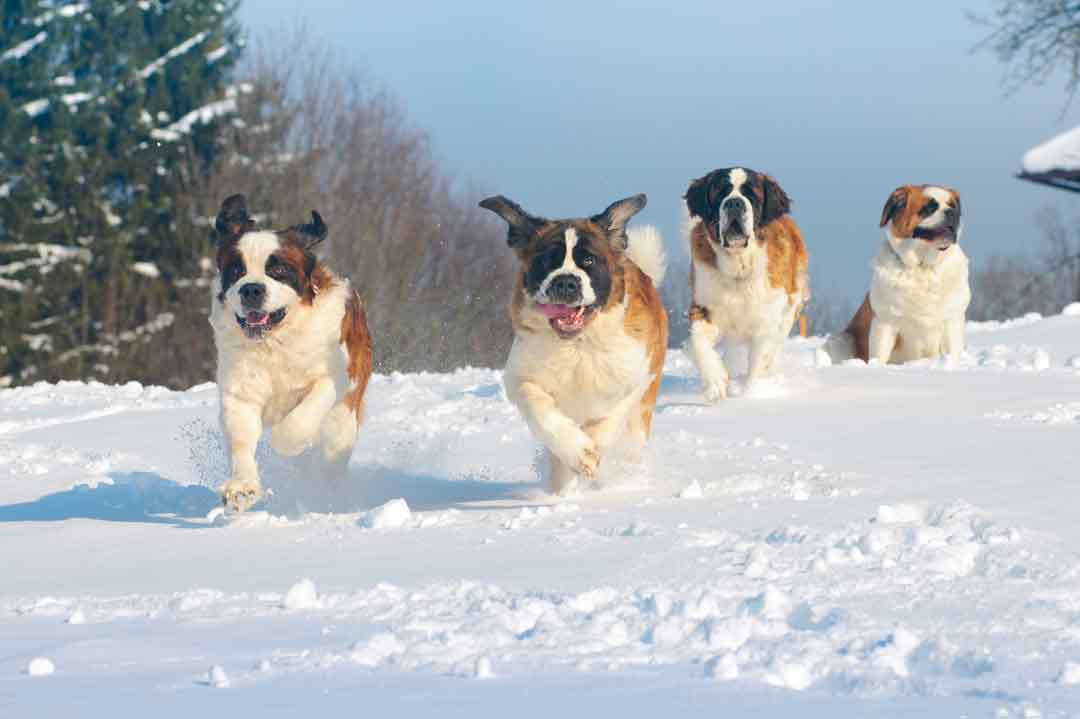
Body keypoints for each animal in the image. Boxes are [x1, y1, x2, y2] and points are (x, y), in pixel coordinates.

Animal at [208, 193, 373, 511]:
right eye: (236, 270)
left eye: (279, 270)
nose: (251, 289)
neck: (275, 341)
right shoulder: (240, 393)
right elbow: (241, 438)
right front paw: (242, 488)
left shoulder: (332, 378)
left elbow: (298, 421)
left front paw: (287, 443)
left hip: (342, 422)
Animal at [481, 193, 665, 496]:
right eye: (547, 260)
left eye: (589, 260)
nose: (566, 282)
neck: (577, 344)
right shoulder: (521, 376)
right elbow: (538, 406)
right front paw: (578, 453)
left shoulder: (636, 374)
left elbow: (610, 417)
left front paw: (592, 448)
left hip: (640, 418)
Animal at [686, 166, 807, 399]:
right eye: (721, 193)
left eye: (751, 195)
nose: (734, 203)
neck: (738, 265)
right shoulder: (703, 307)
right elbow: (698, 342)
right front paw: (715, 383)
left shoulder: (767, 320)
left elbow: (760, 361)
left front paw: (751, 395)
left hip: (790, 308)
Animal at [825, 184, 972, 364]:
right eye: (930, 207)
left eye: (953, 205)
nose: (952, 212)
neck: (923, 268)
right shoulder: (885, 323)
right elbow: (879, 354)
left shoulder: (952, 320)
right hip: (840, 340)